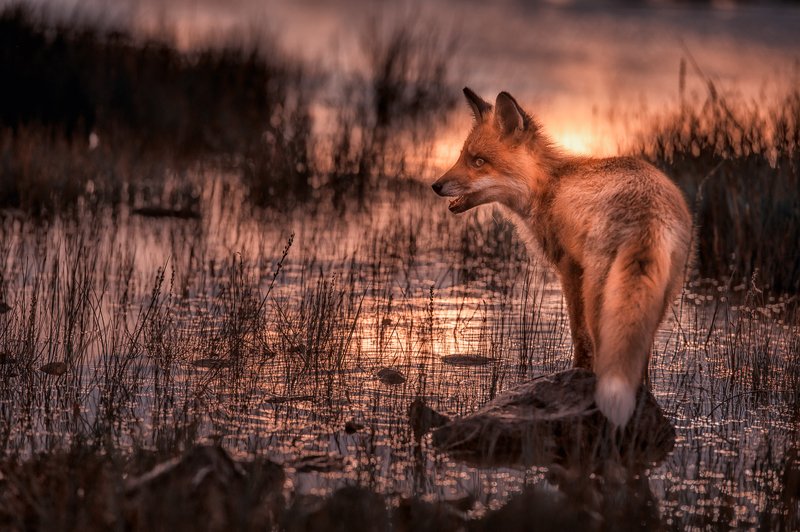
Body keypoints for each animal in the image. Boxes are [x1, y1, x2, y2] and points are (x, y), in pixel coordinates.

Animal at [432, 88, 692, 427]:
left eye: (478, 161)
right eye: (463, 157)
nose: (435, 185)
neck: (550, 186)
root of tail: (647, 212)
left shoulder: (569, 268)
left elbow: (579, 336)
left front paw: (574, 374)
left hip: (600, 297)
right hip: (657, 300)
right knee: (639, 358)